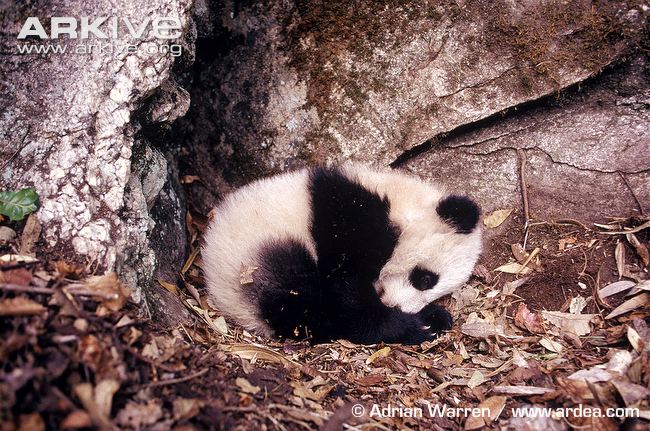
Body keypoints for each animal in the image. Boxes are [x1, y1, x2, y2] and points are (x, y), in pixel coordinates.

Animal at [201, 164, 481, 345]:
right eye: (425, 279)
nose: (399, 307)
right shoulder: (348, 221)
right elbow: (345, 289)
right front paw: (413, 325)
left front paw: (433, 316)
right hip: (256, 258)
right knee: (293, 295)